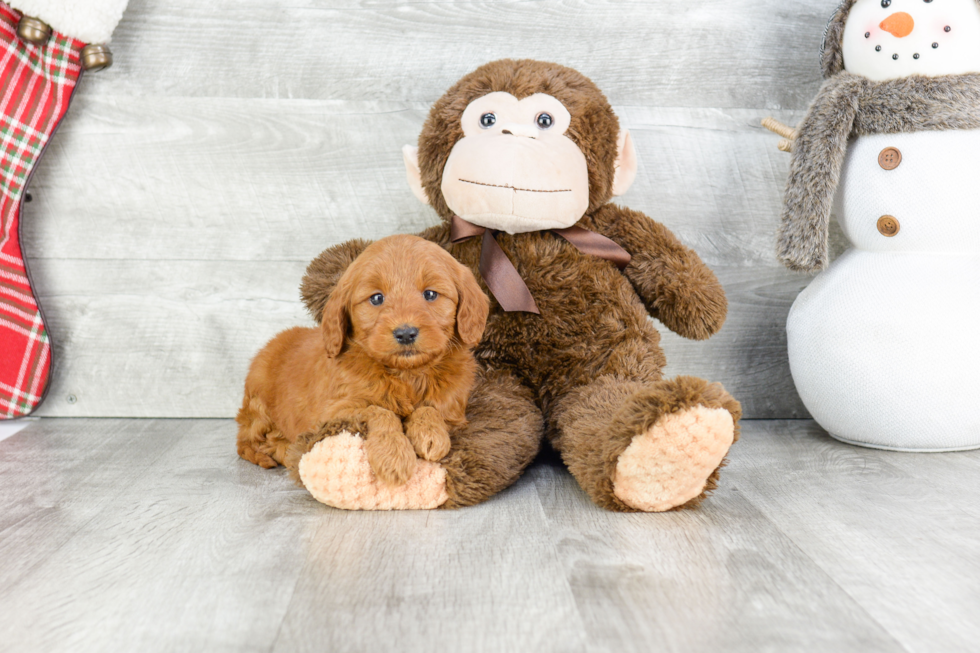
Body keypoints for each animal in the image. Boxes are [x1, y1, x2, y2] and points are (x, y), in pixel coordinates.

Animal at [237, 234, 490, 484]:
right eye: (377, 298)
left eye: (430, 294)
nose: (405, 333)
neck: (407, 373)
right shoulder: (332, 413)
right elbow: (379, 410)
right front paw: (393, 455)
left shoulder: (454, 410)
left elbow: (429, 408)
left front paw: (430, 433)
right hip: (259, 405)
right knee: (251, 442)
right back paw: (280, 452)